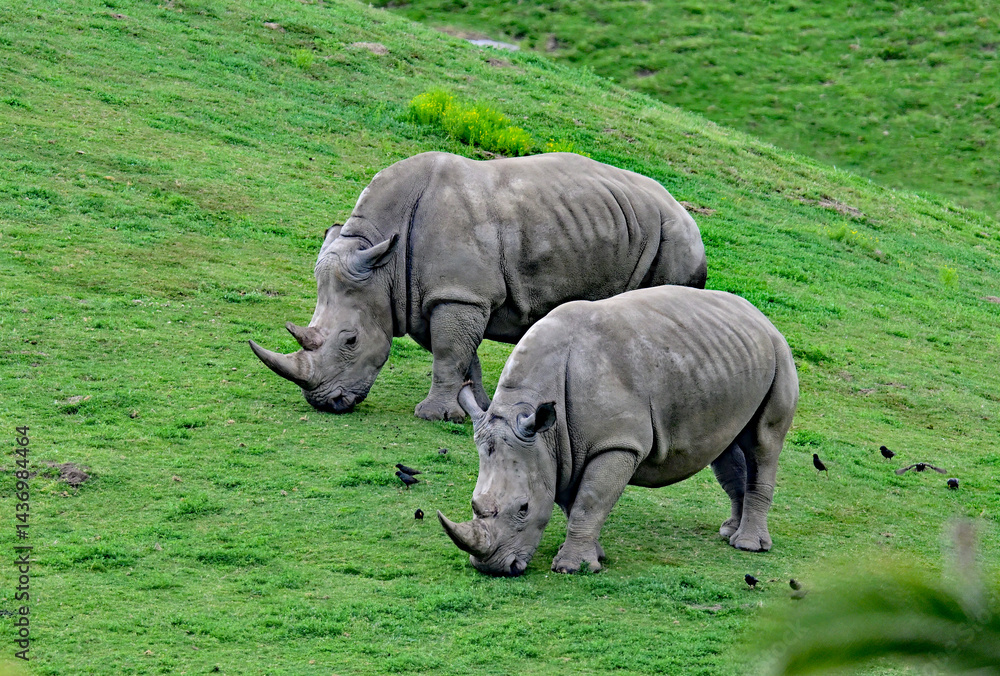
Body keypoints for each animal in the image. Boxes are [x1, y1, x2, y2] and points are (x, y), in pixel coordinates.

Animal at [249, 151, 706, 421]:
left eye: (351, 340)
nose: (326, 404)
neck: (382, 263)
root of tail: (684, 210)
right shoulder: (429, 296)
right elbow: (459, 354)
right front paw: (477, 408)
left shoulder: (458, 294)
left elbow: (449, 353)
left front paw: (433, 416)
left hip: (674, 237)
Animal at [437, 285, 799, 576]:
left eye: (524, 508)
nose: (493, 568)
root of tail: (761, 317)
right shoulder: (560, 448)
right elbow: (572, 502)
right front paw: (594, 557)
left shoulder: (616, 443)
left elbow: (590, 500)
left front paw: (572, 568)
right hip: (729, 357)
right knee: (725, 447)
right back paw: (728, 532)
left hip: (780, 355)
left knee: (763, 444)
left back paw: (748, 546)